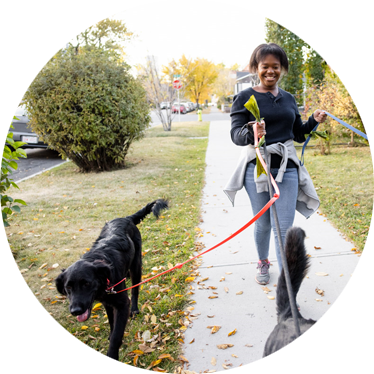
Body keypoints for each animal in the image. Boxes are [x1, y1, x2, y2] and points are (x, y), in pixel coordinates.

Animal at [55, 200, 167, 374]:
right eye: (68, 288)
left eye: (86, 283)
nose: (75, 311)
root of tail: (126, 218)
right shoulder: (107, 301)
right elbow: (111, 322)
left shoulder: (122, 303)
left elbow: (116, 336)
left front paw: (111, 362)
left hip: (137, 266)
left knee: (135, 290)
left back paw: (135, 309)